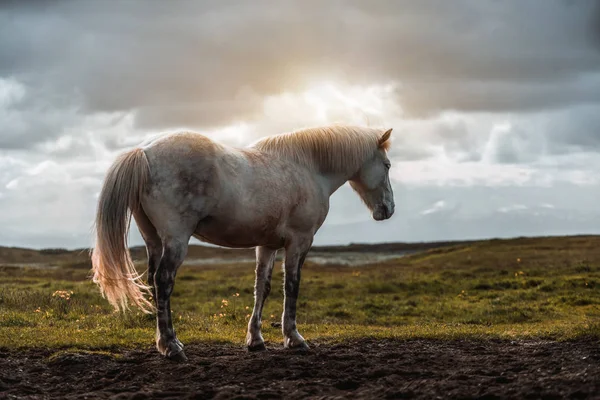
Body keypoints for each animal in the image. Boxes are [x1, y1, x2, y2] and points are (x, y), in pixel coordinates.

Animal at [91, 125, 396, 362]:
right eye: (387, 165)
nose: (388, 209)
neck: (308, 168)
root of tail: (144, 152)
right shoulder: (300, 242)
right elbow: (292, 286)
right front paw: (294, 338)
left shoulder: (268, 245)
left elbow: (262, 287)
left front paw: (256, 340)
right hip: (176, 240)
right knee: (163, 281)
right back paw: (172, 347)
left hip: (153, 240)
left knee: (154, 283)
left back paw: (165, 343)